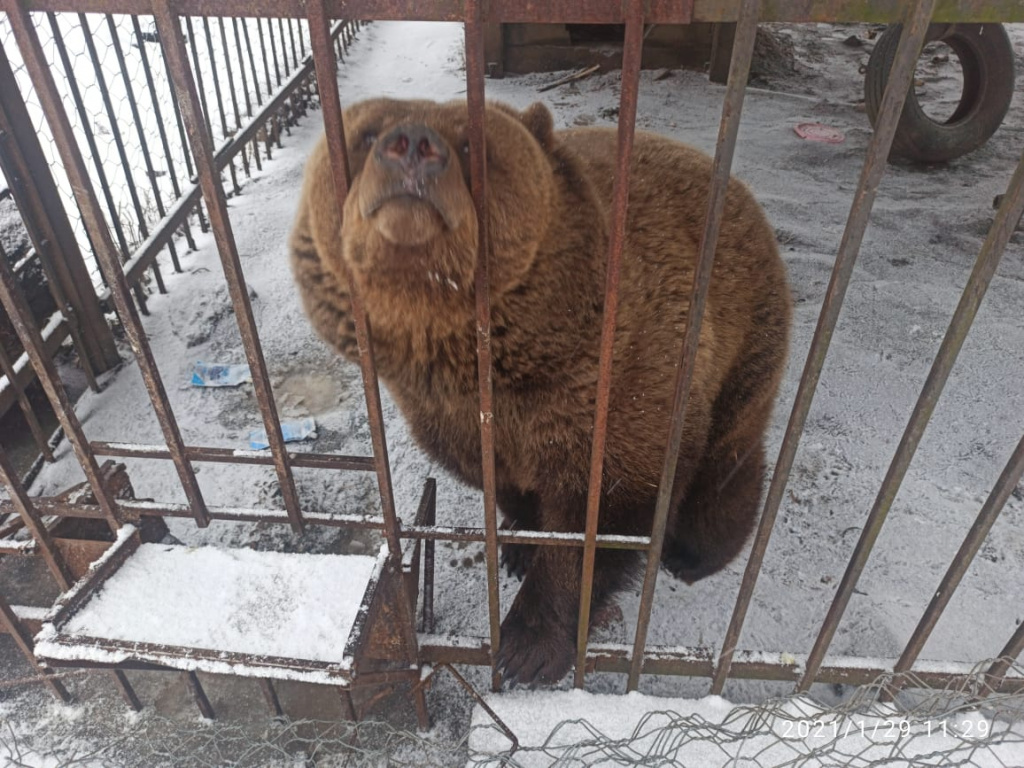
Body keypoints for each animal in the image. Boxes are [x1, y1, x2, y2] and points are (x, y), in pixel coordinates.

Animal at [290, 98, 792, 687]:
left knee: (726, 458)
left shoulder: (617, 382)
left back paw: (697, 550)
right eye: (367, 134)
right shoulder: (453, 418)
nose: (411, 144)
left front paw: (527, 645)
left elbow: (599, 516)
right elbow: (506, 485)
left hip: (742, 335)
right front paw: (519, 543)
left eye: (473, 142)